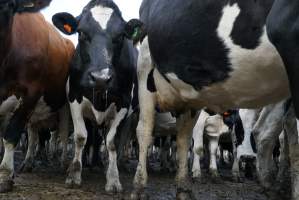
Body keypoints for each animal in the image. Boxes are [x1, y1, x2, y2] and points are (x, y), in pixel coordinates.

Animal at [0, 0, 75, 194]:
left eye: (9, 5)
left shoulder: (29, 94)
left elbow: (11, 134)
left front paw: (5, 176)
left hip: (64, 105)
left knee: (63, 133)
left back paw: (64, 163)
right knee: (34, 136)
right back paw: (28, 162)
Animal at [51, 0, 143, 194]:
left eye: (120, 36)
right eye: (81, 33)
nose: (101, 77)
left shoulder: (123, 104)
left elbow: (112, 142)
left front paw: (113, 179)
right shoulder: (74, 99)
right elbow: (81, 137)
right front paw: (74, 174)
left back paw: (108, 164)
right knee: (93, 136)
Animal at [132, 0, 296, 198]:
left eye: (251, 119)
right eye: (239, 123)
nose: (249, 157)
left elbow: (216, 149)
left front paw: (220, 173)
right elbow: (199, 148)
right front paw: (198, 173)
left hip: (188, 97)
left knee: (182, 137)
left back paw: (183, 188)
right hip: (145, 74)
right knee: (144, 132)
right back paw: (139, 186)